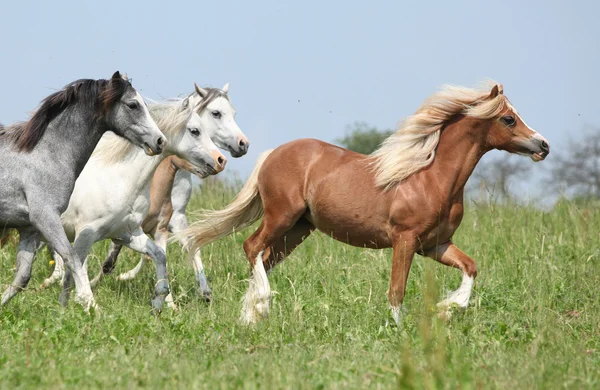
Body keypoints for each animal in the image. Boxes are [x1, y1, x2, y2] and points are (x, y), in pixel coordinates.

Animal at [0, 69, 166, 308]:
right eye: (133, 105)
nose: (160, 141)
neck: (45, 154)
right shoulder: (46, 217)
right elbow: (72, 259)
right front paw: (90, 306)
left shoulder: (29, 228)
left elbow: (22, 277)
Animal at [48, 93, 226, 310]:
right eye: (195, 131)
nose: (221, 160)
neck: (119, 179)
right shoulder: (85, 235)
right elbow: (74, 271)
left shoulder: (126, 233)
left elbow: (159, 254)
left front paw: (159, 301)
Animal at [176, 83, 552, 326]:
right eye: (508, 119)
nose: (543, 145)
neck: (430, 177)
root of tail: (273, 153)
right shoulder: (405, 240)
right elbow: (397, 291)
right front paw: (402, 331)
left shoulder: (435, 245)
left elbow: (471, 267)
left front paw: (448, 307)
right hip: (281, 216)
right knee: (251, 246)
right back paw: (262, 306)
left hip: (299, 229)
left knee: (264, 260)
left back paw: (251, 316)